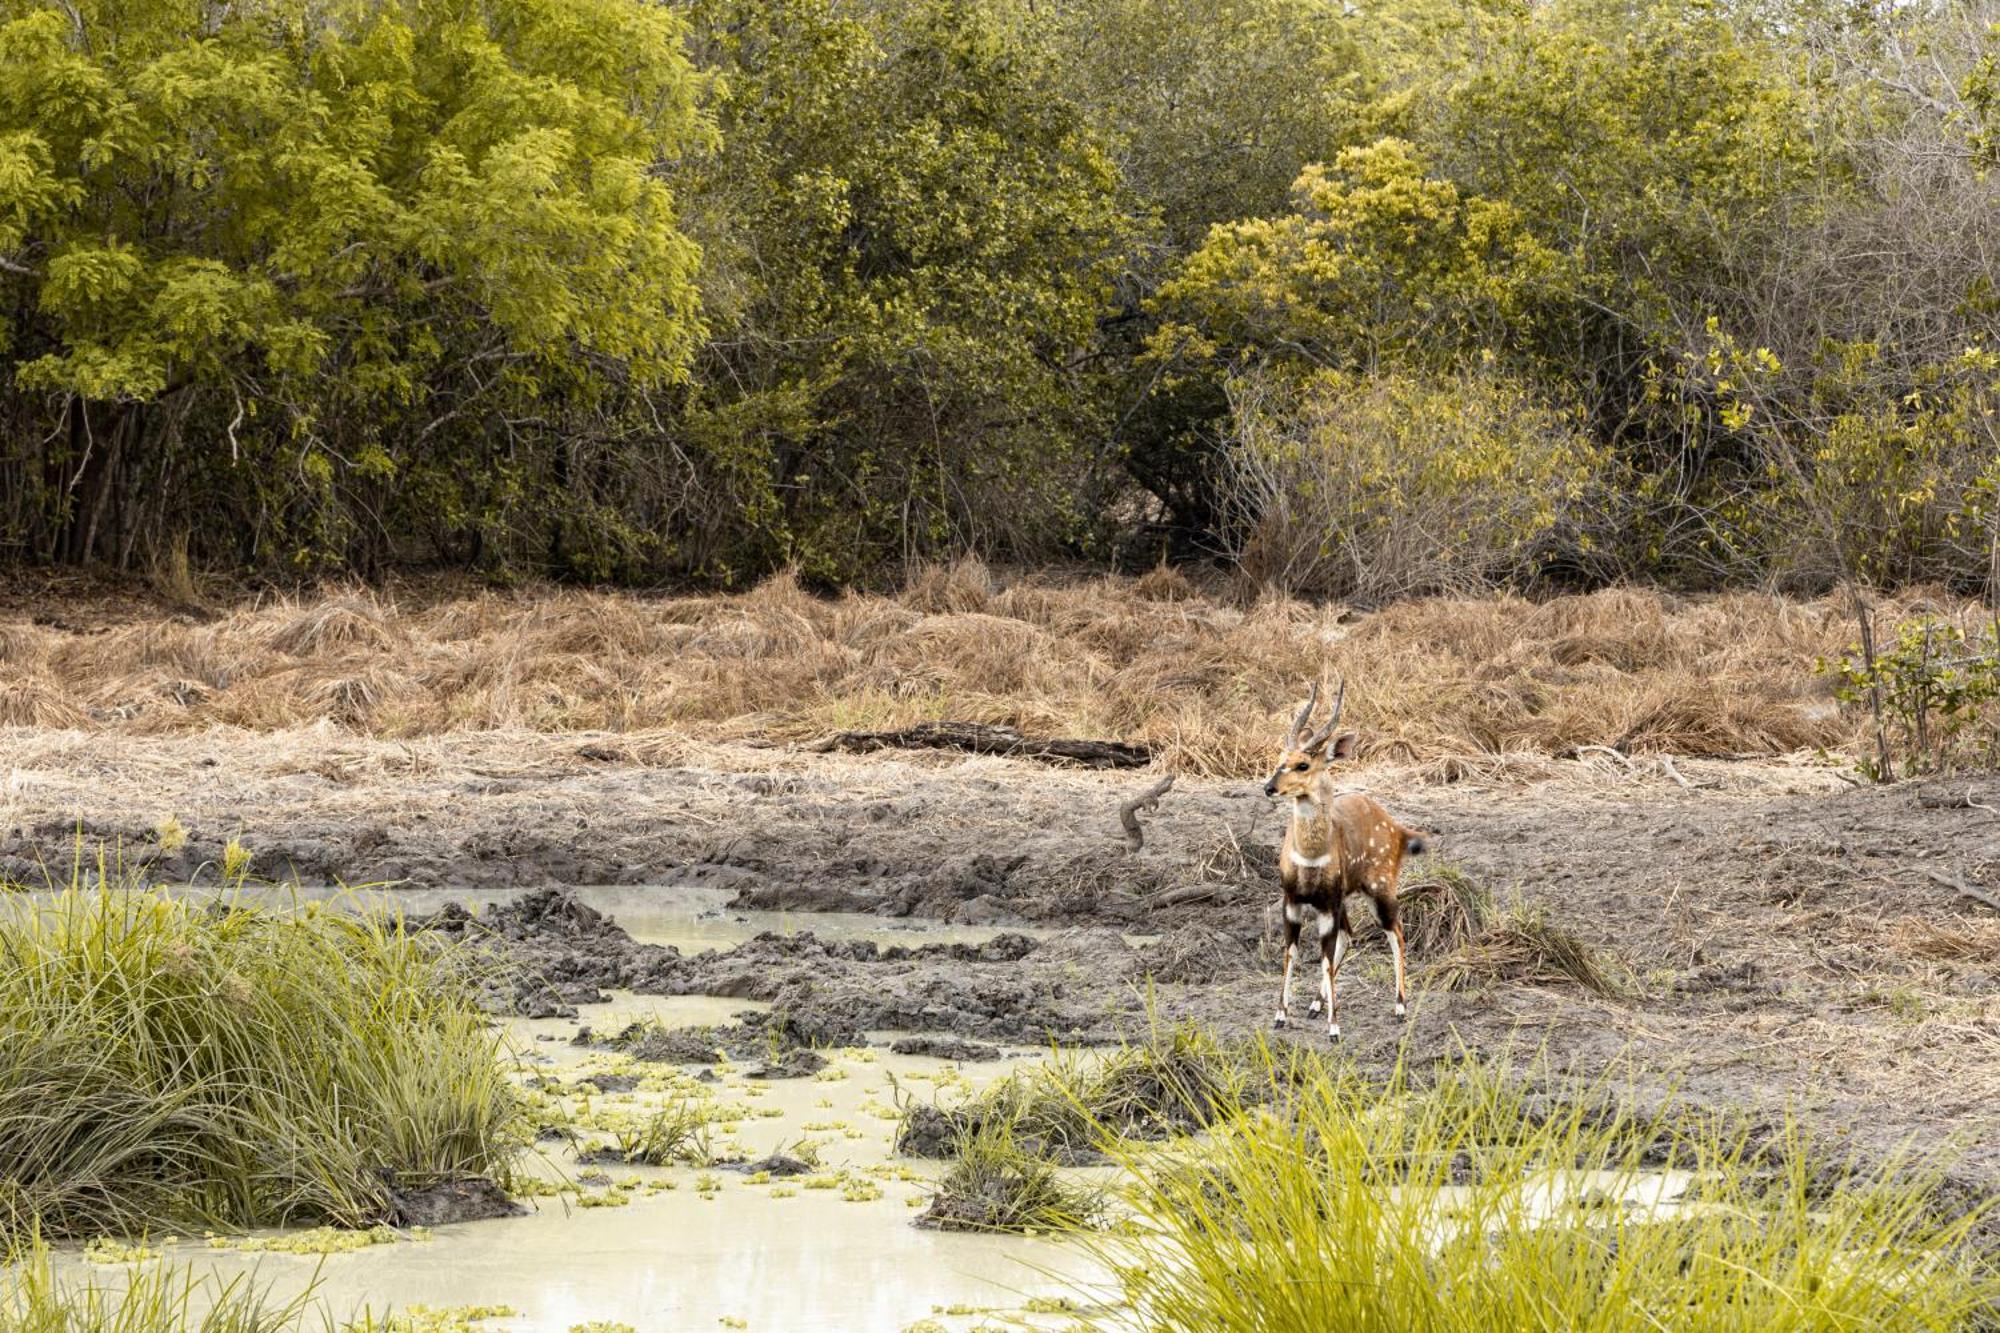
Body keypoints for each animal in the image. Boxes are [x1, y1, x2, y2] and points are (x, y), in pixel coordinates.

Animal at [1264, 680, 1424, 1032]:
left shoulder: (1327, 903)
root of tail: (1398, 830)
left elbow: (1323, 955)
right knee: (1349, 936)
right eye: (1281, 758)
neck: (1310, 858)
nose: (1269, 787)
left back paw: (1400, 1007)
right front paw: (1281, 1015)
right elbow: (1291, 952)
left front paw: (1334, 1027)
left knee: (1396, 932)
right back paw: (1315, 1005)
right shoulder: (1293, 900)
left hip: (1380, 890)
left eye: (1303, 764)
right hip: (1349, 898)